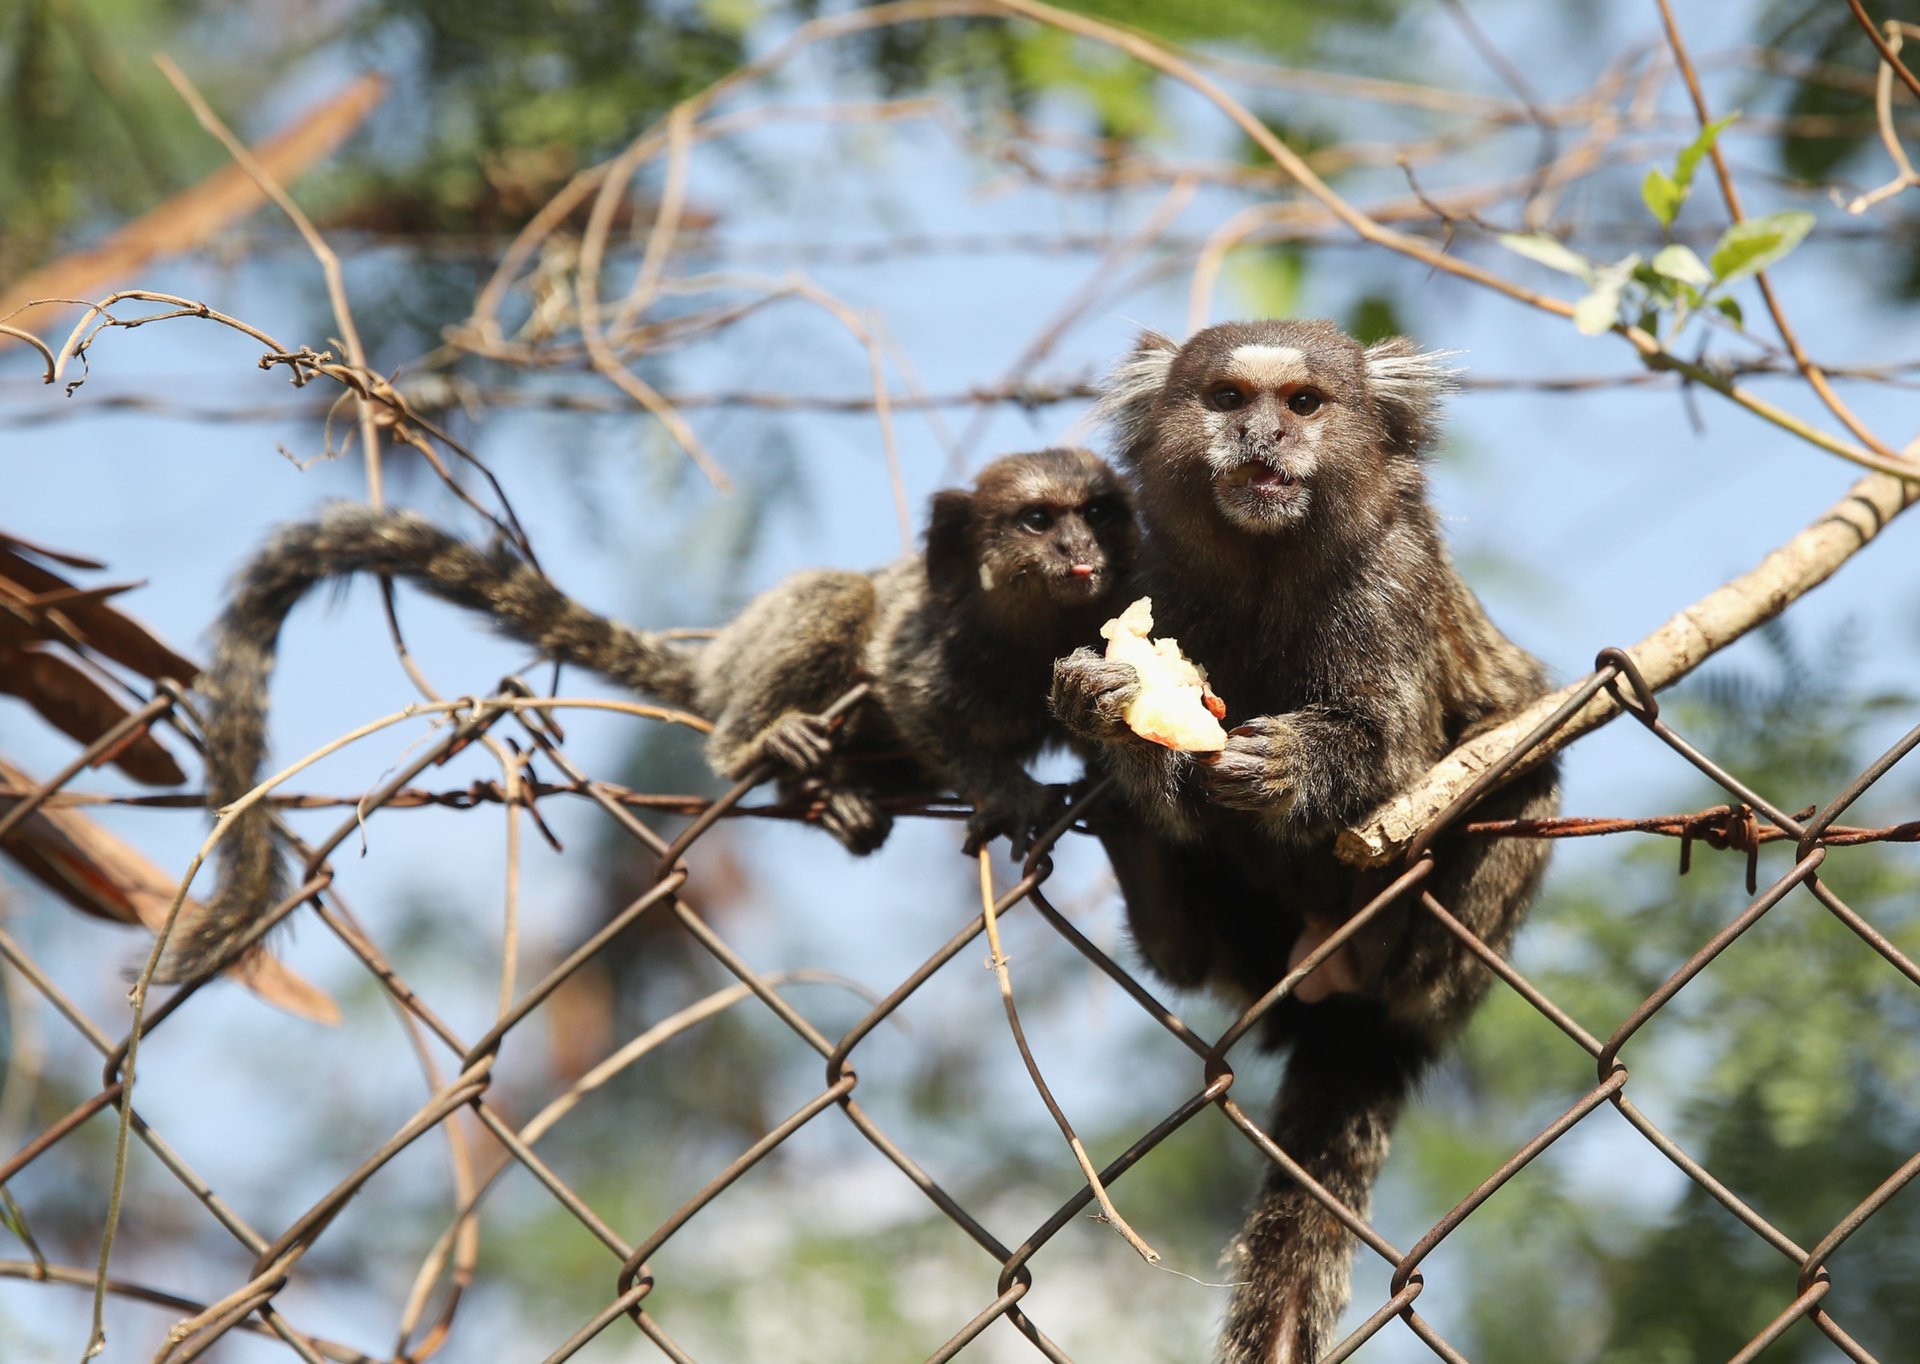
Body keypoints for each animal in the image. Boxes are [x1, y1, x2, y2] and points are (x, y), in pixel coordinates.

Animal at [156, 446, 1135, 985]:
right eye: (1038, 520)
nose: (1079, 550)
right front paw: (1007, 793)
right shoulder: (929, 638)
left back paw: (840, 800)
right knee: (834, 599)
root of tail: (718, 659)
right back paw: (765, 744)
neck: (1024, 632)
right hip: (757, 658)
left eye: (1095, 514)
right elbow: (908, 689)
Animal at [1050, 320, 1558, 1363]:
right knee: (1191, 946)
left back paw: (1407, 949)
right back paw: (1155, 897)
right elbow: (1180, 793)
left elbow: (1397, 752)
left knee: (1521, 767)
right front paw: (1109, 705)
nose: (1262, 439)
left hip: (1446, 965)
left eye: (1305, 404)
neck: (1266, 571)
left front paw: (1291, 764)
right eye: (1227, 398)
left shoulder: (1392, 584)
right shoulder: (1159, 582)